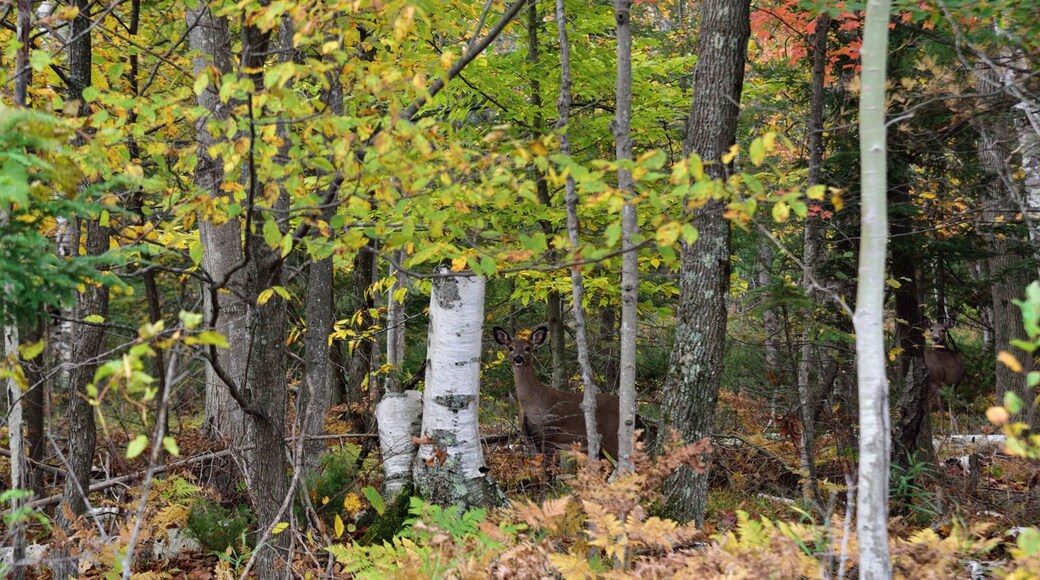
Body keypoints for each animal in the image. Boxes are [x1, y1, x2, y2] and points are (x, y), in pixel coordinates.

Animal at [492, 326, 622, 460]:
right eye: (510, 347)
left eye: (527, 348)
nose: (518, 358)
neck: (531, 403)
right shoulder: (528, 437)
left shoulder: (549, 433)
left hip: (613, 437)